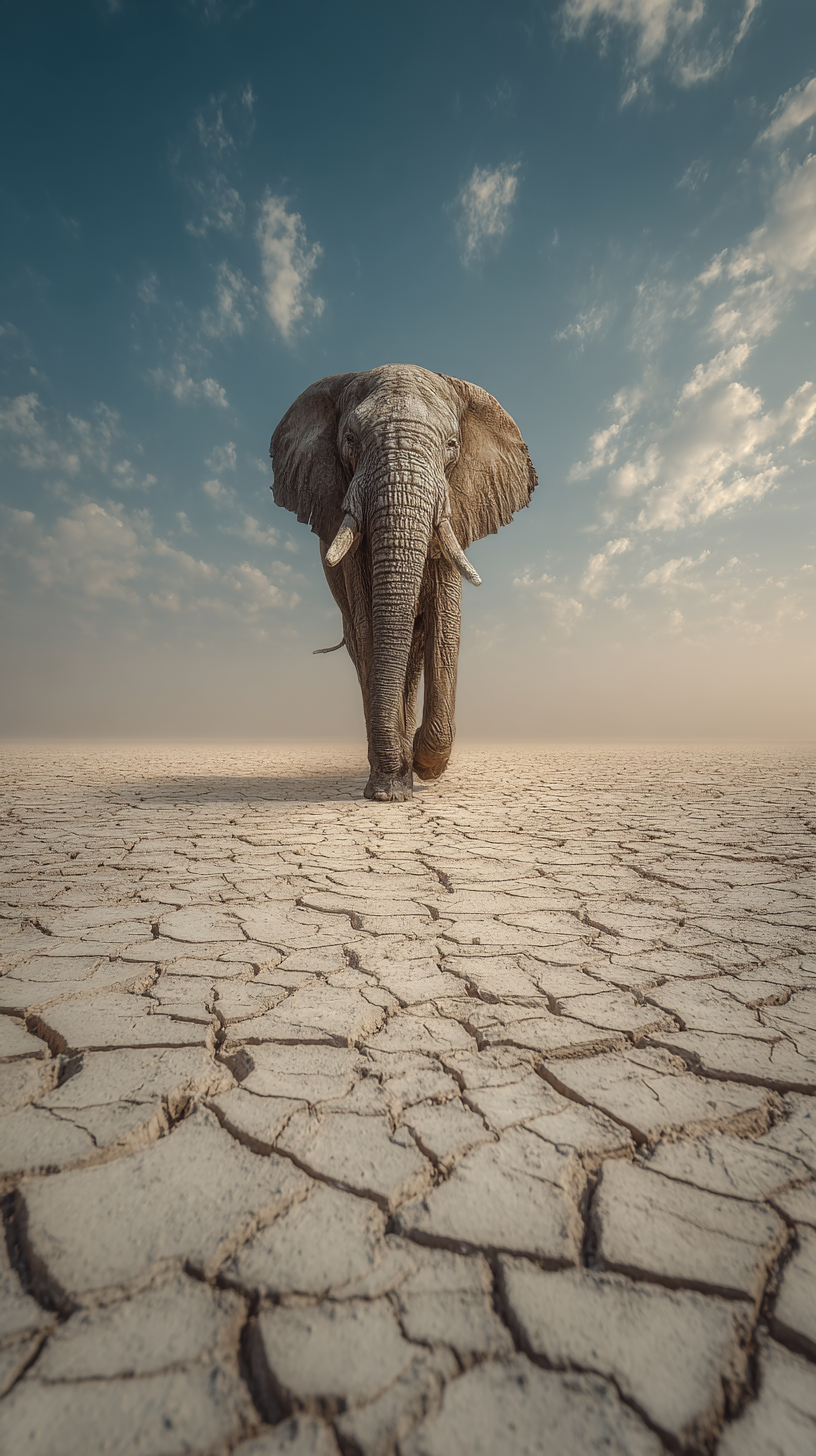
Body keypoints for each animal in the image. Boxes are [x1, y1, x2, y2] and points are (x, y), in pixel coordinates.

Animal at [270, 364, 537, 801]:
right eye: (349, 440)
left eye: (451, 445)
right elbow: (370, 629)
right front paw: (389, 789)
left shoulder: (457, 506)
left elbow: (446, 627)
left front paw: (423, 762)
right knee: (363, 645)